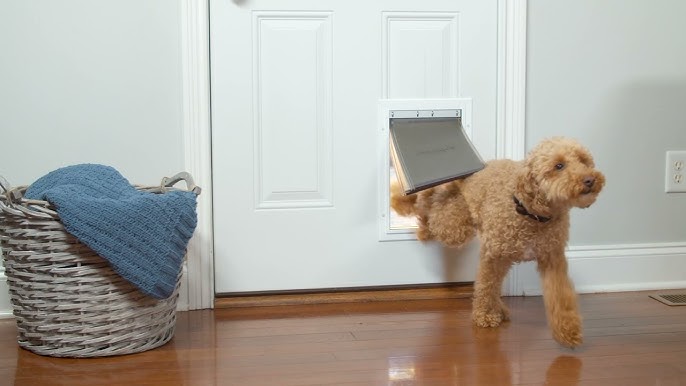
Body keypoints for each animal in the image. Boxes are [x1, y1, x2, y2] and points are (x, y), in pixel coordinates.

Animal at [392, 137, 608, 348]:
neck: (530, 213)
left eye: (583, 161)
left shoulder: (552, 259)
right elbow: (486, 286)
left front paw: (568, 331)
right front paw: (485, 315)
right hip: (455, 227)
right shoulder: (493, 256)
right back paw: (417, 219)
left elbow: (560, 295)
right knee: (428, 204)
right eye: (559, 165)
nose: (590, 180)